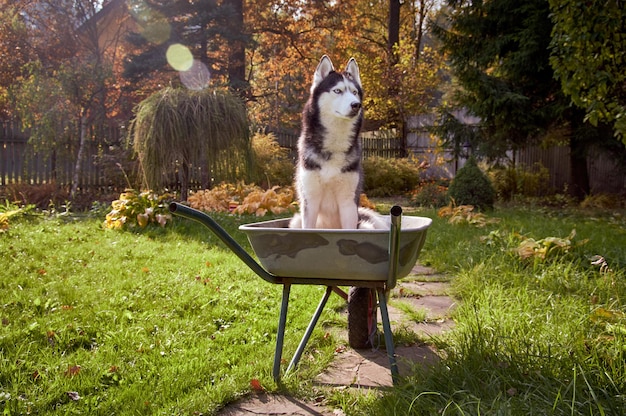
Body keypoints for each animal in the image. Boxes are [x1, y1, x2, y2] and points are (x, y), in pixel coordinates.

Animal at [290, 55, 372, 229]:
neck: (335, 143)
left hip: (365, 225)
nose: (356, 105)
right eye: (337, 91)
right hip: (295, 221)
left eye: (355, 92)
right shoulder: (310, 200)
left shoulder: (348, 202)